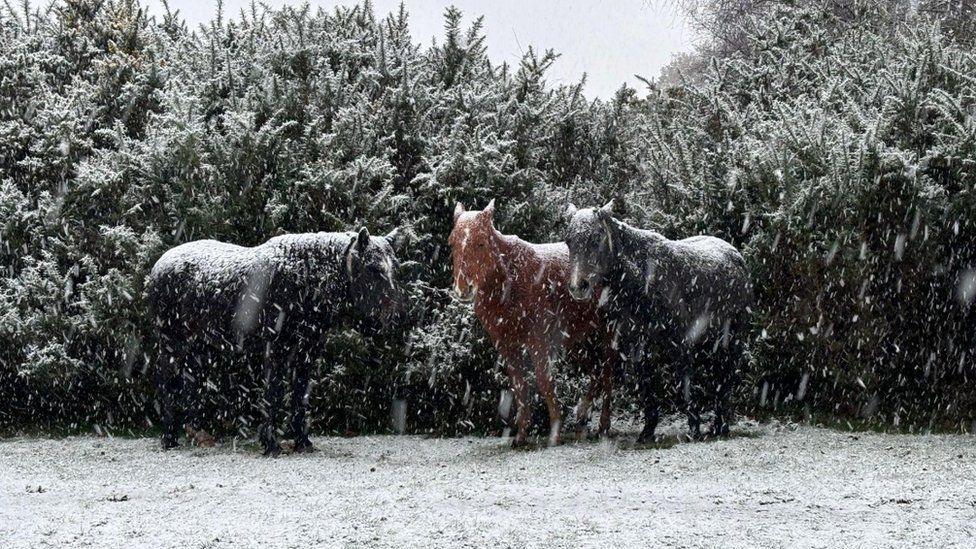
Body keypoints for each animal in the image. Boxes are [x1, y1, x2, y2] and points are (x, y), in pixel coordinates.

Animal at [448, 200, 612, 446]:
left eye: (481, 242)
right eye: (452, 243)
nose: (463, 289)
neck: (511, 284)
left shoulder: (538, 341)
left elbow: (544, 382)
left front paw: (555, 433)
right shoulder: (507, 345)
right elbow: (519, 386)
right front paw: (521, 434)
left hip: (609, 334)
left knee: (609, 374)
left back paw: (603, 425)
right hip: (577, 341)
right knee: (596, 373)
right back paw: (582, 419)